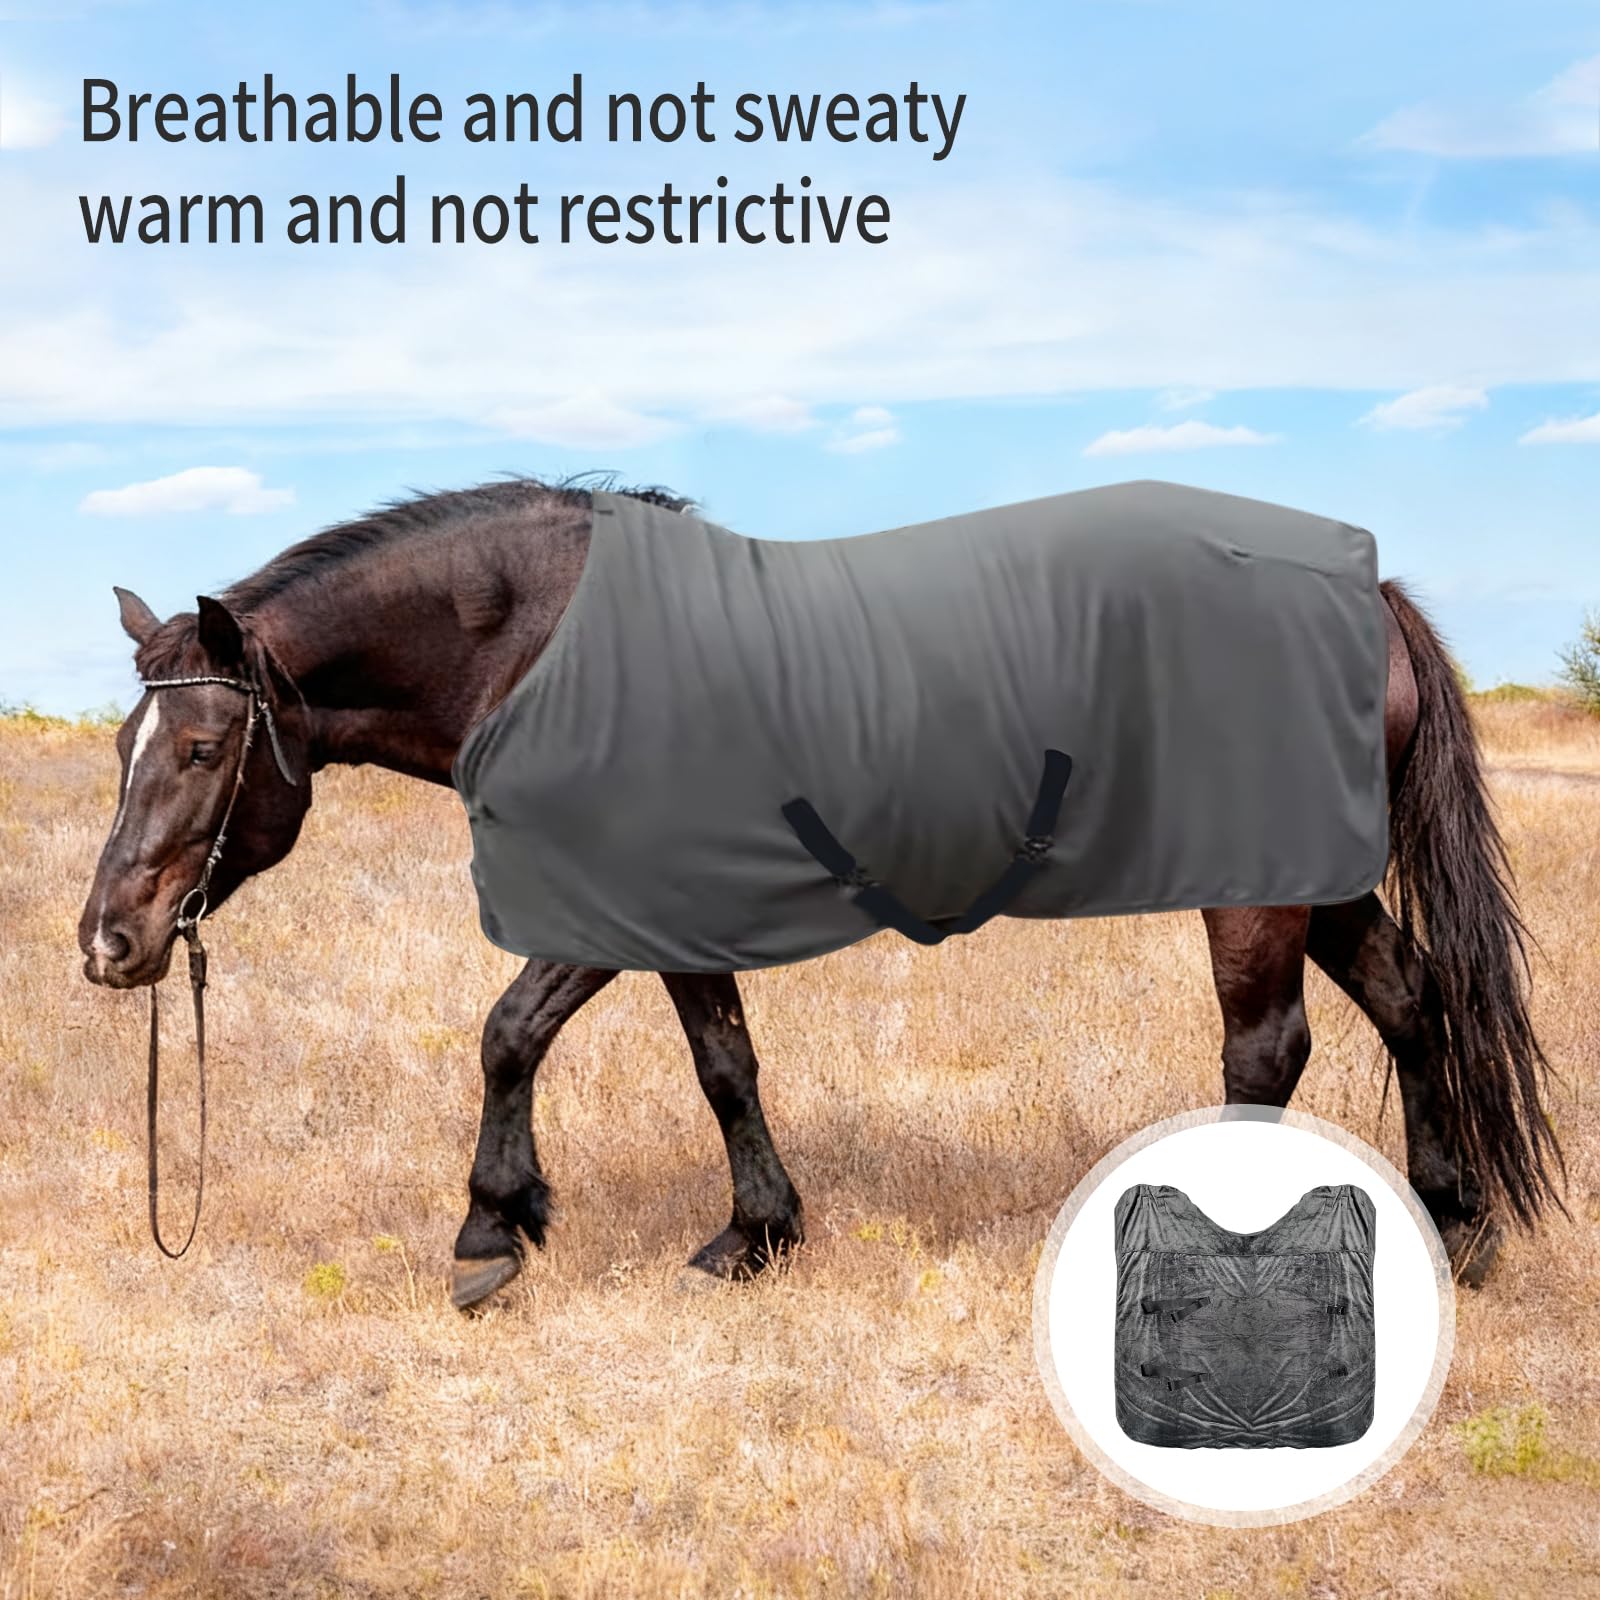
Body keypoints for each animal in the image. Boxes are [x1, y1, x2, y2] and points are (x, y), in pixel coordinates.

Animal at [76, 476, 1562, 1309]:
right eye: (122, 744)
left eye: (199, 749)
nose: (109, 943)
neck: (547, 644)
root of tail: (1361, 594)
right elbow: (722, 1059)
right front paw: (756, 1234)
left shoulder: (618, 899)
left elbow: (518, 1035)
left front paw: (493, 1228)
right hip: (1323, 884)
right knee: (1414, 1004)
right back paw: (1456, 1226)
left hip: (1255, 893)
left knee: (1267, 1049)